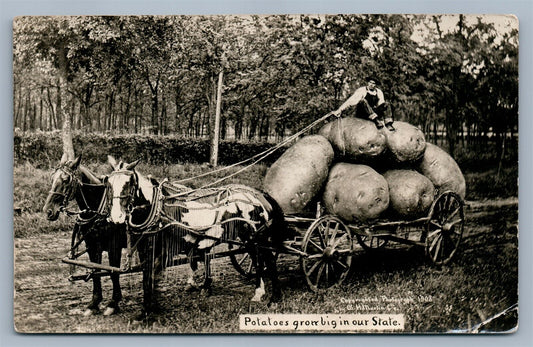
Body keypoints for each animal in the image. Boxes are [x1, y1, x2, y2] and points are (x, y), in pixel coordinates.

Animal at [42, 156, 125, 316]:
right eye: (52, 178)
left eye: (66, 180)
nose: (48, 211)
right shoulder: (92, 245)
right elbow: (95, 271)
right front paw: (94, 303)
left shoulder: (114, 246)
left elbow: (113, 272)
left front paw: (113, 303)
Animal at [104, 159, 286, 316]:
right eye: (108, 184)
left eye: (129, 183)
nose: (116, 217)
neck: (157, 210)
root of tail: (259, 194)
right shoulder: (144, 250)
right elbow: (147, 278)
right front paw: (150, 308)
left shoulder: (159, 251)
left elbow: (150, 278)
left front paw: (147, 312)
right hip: (249, 238)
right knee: (257, 259)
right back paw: (258, 292)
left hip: (260, 237)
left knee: (269, 261)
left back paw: (275, 298)